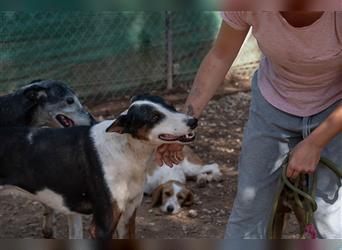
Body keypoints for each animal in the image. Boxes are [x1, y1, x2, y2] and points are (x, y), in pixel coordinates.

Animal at [0, 95, 198, 238]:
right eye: (155, 117)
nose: (193, 121)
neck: (126, 148)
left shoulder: (128, 216)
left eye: (171, 106)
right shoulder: (103, 225)